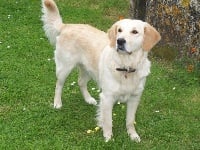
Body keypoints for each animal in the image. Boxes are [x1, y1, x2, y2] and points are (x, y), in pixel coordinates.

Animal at [41, 0, 160, 142]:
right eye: (119, 30)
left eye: (135, 32)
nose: (120, 41)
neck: (126, 66)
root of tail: (67, 26)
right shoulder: (107, 97)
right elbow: (108, 121)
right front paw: (108, 137)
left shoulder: (134, 97)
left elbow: (130, 120)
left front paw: (133, 135)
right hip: (64, 67)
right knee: (58, 85)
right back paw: (57, 103)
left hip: (88, 69)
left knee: (81, 82)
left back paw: (88, 99)